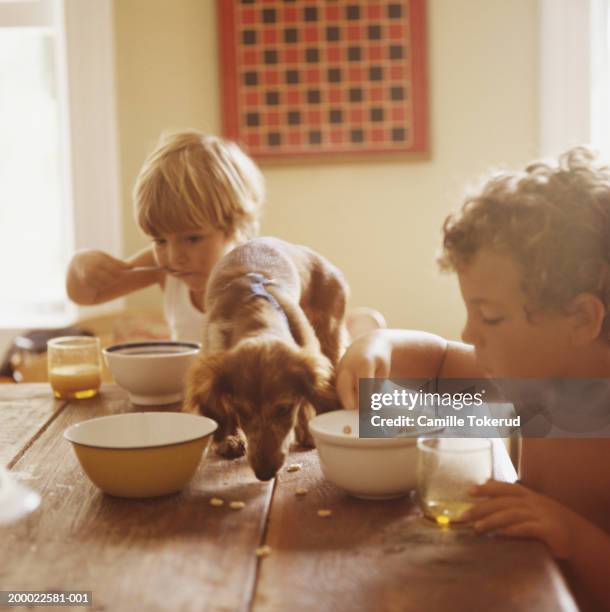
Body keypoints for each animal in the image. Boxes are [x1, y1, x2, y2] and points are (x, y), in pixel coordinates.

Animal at [183, 237, 346, 480]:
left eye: (284, 409)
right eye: (242, 411)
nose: (265, 473)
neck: (255, 309)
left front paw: (307, 430)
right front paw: (230, 439)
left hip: (330, 334)